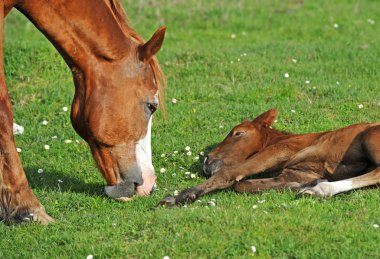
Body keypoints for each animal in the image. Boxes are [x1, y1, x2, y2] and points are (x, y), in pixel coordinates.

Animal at [160, 108, 380, 206]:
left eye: (238, 133)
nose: (207, 160)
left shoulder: (275, 152)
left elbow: (230, 174)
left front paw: (180, 196)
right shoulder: (298, 172)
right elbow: (244, 185)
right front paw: (302, 186)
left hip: (369, 137)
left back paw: (321, 190)